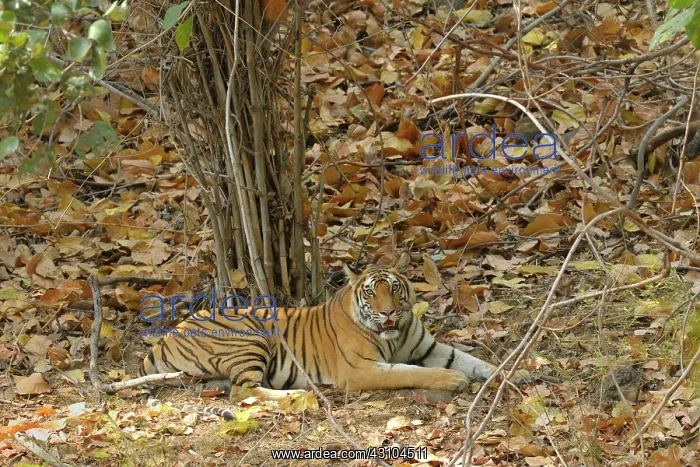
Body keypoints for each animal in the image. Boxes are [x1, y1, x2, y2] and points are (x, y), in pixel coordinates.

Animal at [140, 252, 529, 418]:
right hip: (251, 338)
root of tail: (168, 334)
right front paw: (454, 380)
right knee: (242, 392)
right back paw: (300, 395)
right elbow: (414, 372)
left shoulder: (430, 347)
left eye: (395, 289)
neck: (395, 332)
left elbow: (475, 361)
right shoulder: (362, 370)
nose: (388, 313)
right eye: (371, 292)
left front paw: (517, 372)